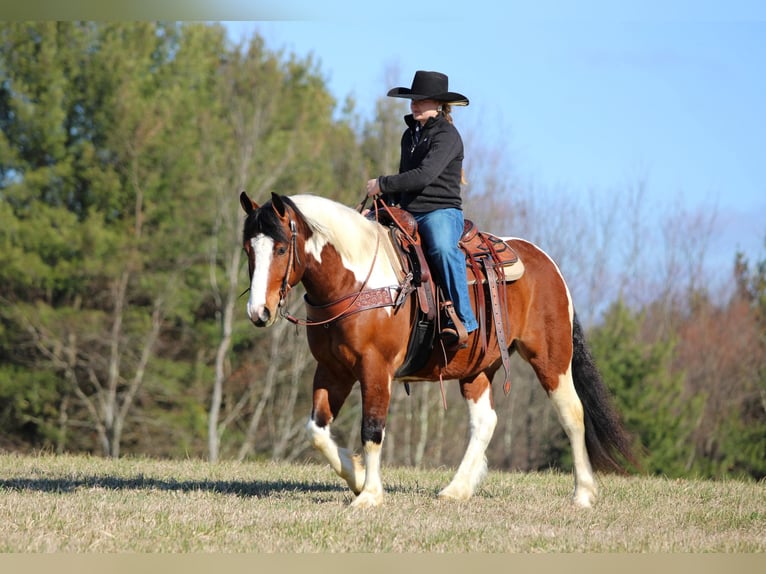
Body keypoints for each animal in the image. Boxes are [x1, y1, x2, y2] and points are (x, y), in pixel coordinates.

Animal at [239, 191, 637, 508]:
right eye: (248, 250)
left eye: (280, 248)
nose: (259, 312)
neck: (355, 280)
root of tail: (546, 263)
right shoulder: (331, 370)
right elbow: (317, 431)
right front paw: (357, 478)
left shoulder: (375, 368)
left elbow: (372, 429)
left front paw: (370, 495)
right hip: (478, 369)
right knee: (485, 422)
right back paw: (457, 489)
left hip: (551, 358)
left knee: (572, 414)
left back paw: (583, 493)